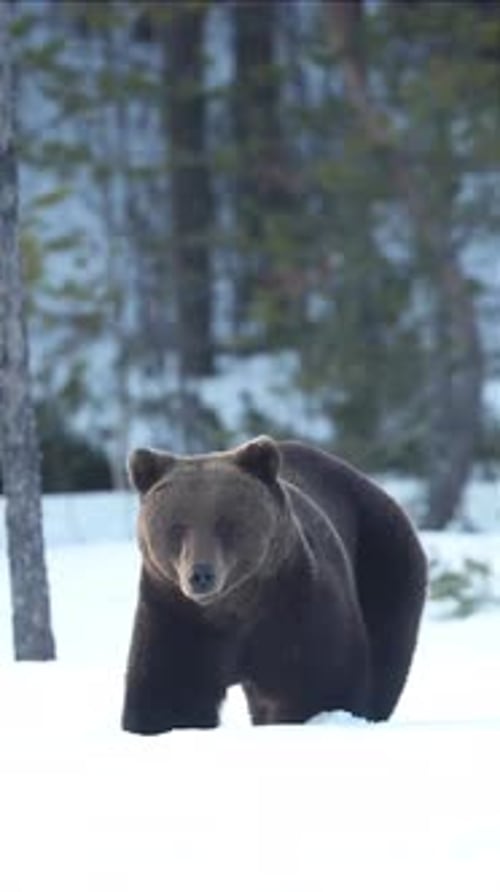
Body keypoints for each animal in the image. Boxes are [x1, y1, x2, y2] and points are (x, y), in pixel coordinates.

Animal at [122, 436, 427, 734]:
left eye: (225, 523)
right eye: (177, 527)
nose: (201, 574)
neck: (235, 607)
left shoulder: (296, 609)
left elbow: (320, 686)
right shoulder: (175, 616)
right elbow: (170, 695)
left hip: (383, 558)